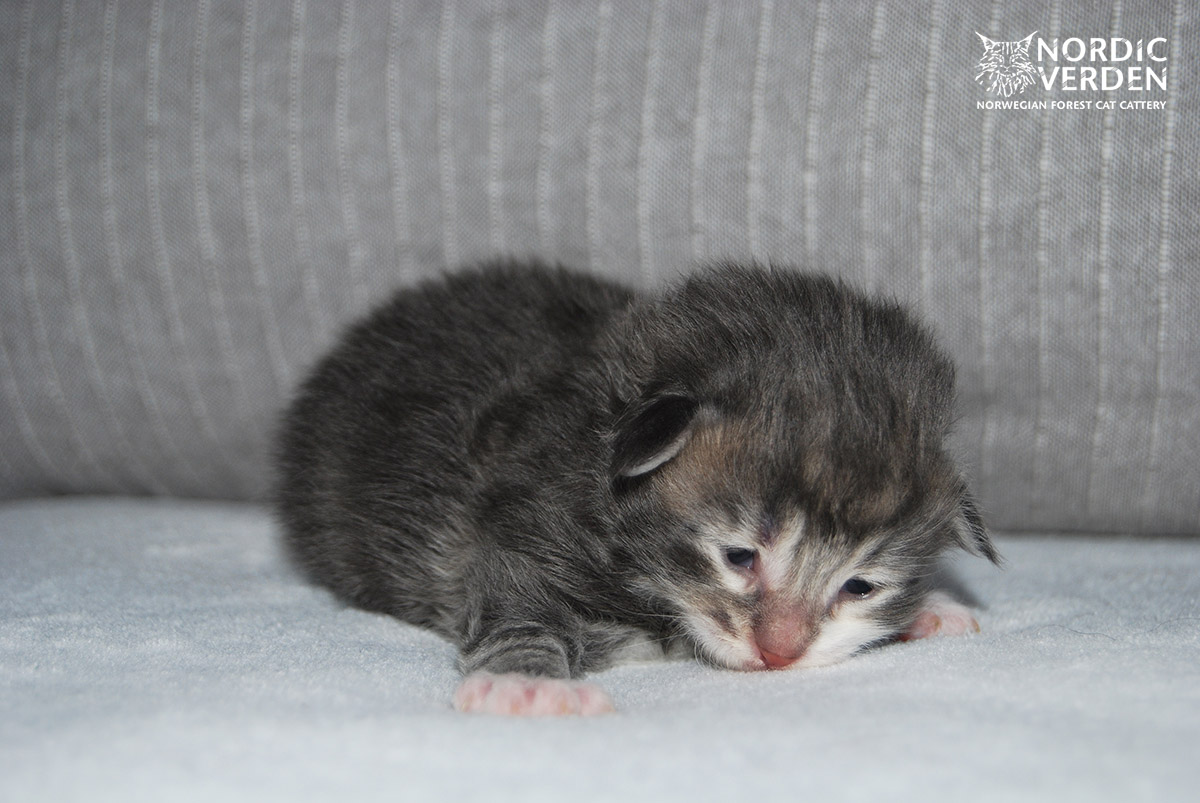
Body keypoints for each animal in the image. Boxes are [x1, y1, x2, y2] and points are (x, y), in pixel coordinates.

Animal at [275, 260, 998, 716]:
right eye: (740, 555)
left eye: (860, 586)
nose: (779, 654)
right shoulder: (515, 529)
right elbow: (519, 606)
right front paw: (525, 680)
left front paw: (929, 608)